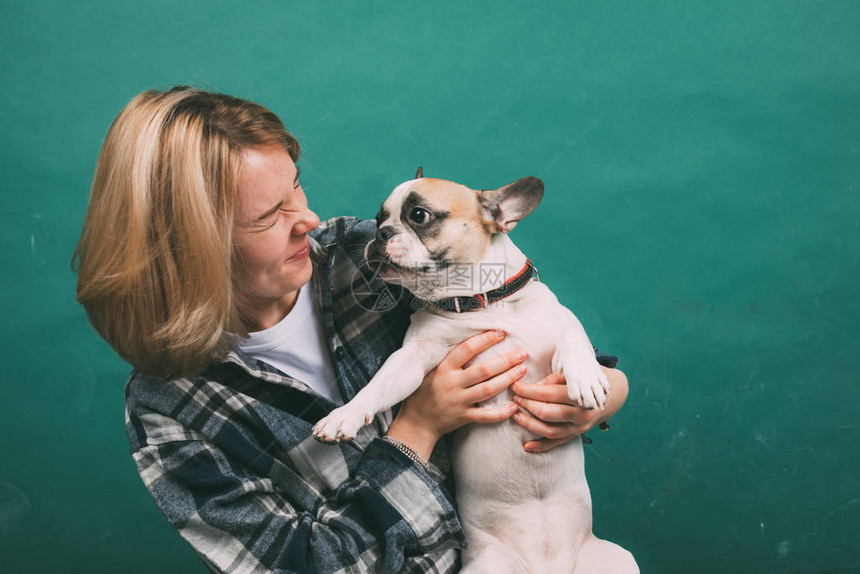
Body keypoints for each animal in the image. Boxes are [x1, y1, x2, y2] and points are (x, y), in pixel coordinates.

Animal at [312, 169, 636, 572]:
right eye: (379, 215)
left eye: (418, 215)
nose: (380, 233)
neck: (483, 303)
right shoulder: (413, 357)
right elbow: (380, 384)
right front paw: (345, 415)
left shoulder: (560, 324)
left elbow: (574, 339)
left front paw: (588, 378)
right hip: (489, 564)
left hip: (620, 558)